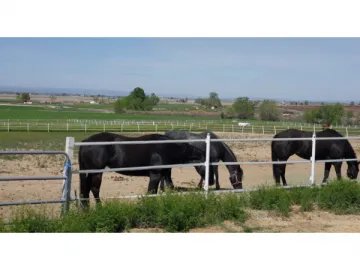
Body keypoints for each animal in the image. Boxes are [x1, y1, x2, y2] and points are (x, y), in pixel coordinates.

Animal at [77, 132, 212, 208]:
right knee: (94, 189)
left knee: (86, 190)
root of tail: (85, 142)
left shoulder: (164, 175)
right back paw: (99, 208)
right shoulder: (155, 176)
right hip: (96, 172)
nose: (211, 182)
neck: (167, 148)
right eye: (207, 164)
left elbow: (165, 189)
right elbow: (151, 192)